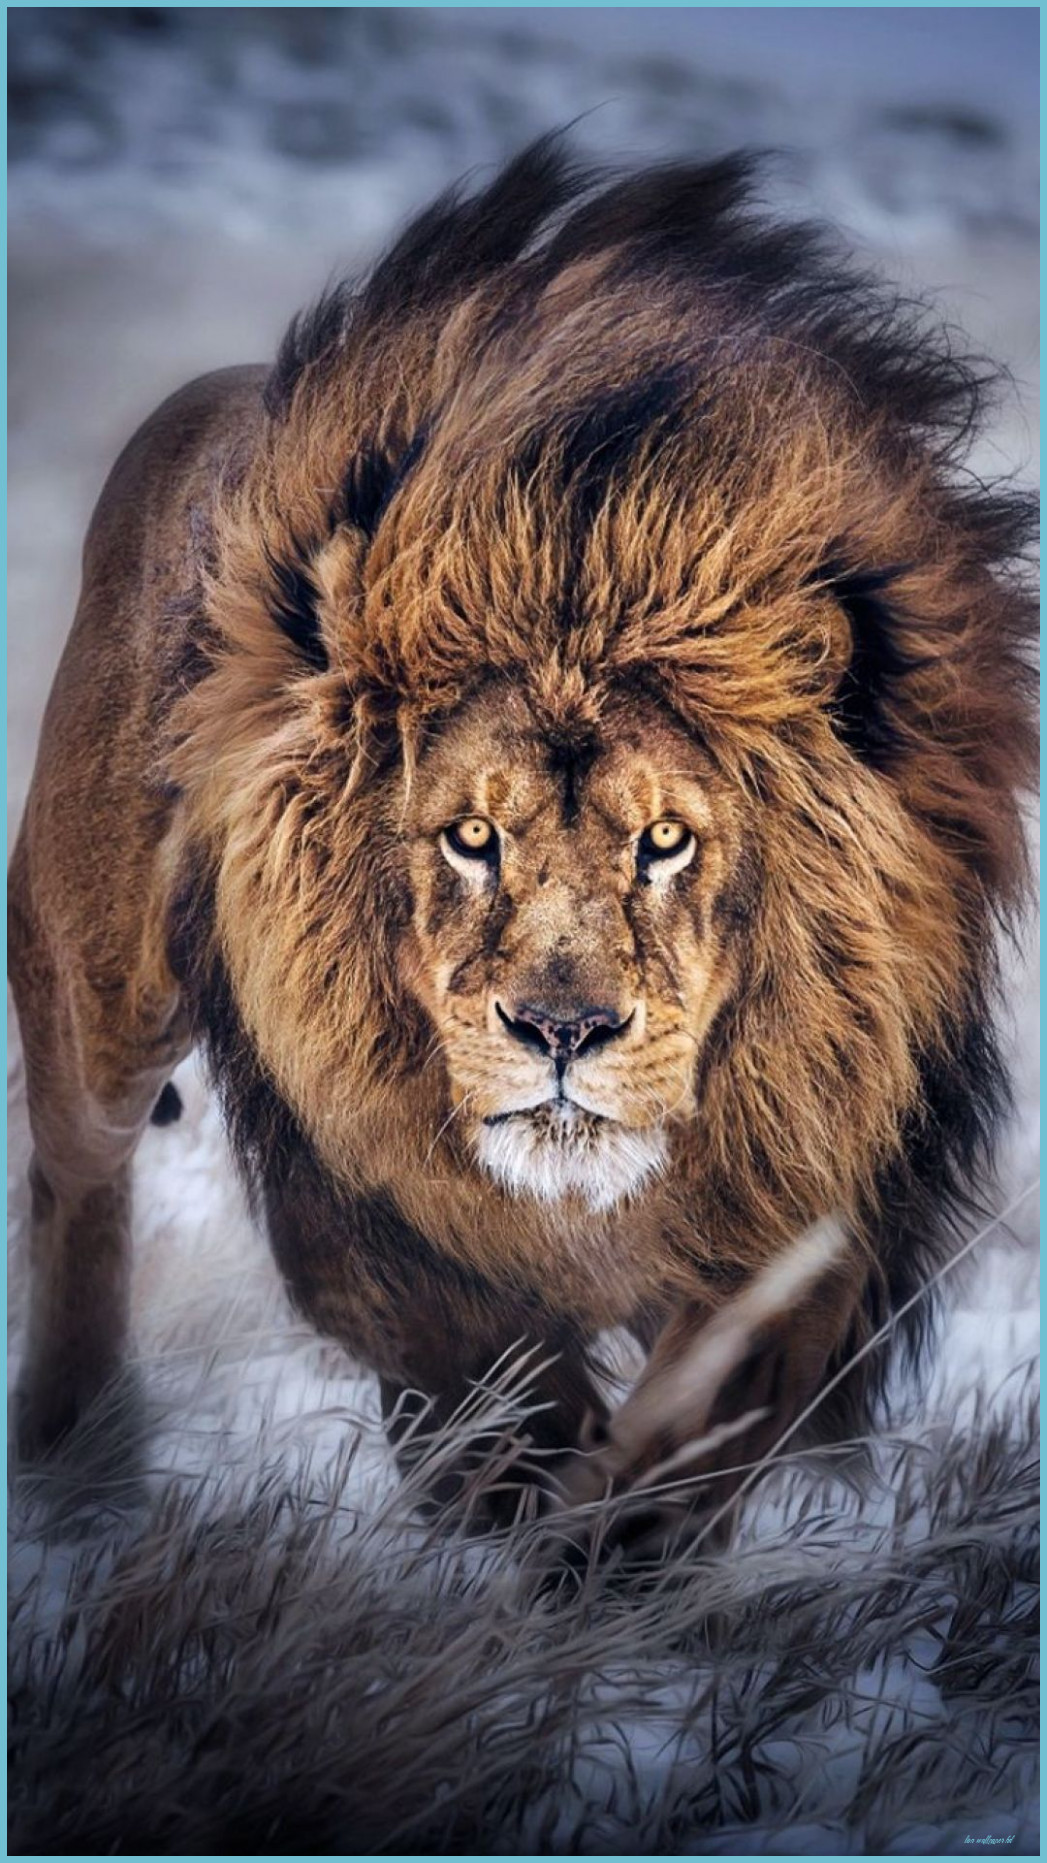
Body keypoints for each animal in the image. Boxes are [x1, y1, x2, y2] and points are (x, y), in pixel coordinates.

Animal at [9, 140, 1036, 1544]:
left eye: (666, 838)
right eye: (469, 835)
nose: (562, 1032)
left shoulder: (814, 1206)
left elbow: (682, 1446)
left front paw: (599, 1552)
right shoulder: (371, 1217)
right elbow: (500, 1406)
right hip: (97, 993)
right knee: (78, 1180)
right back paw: (75, 1465)